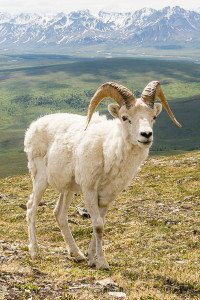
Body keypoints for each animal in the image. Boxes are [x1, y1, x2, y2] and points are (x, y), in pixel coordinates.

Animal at [23, 79, 181, 270]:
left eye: (153, 117)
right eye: (125, 117)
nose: (146, 135)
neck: (108, 152)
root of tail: (34, 126)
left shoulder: (106, 197)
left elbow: (99, 224)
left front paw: (92, 259)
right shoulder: (89, 190)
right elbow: (98, 225)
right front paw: (103, 264)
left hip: (68, 189)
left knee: (59, 214)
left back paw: (77, 254)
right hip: (40, 179)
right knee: (31, 208)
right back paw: (34, 251)